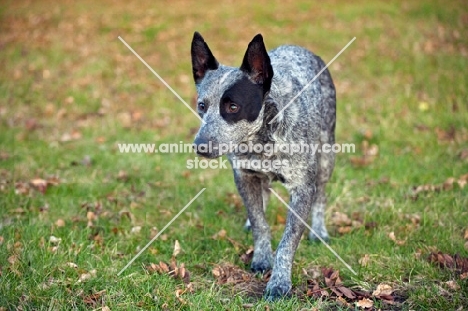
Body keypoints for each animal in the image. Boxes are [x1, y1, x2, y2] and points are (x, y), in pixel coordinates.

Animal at [191, 33, 336, 302]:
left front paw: (279, 283)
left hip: (326, 156)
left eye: (233, 107)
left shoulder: (302, 188)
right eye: (202, 105)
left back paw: (319, 231)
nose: (200, 146)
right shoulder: (244, 176)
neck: (261, 141)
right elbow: (259, 222)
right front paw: (261, 256)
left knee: (321, 194)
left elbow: (288, 242)